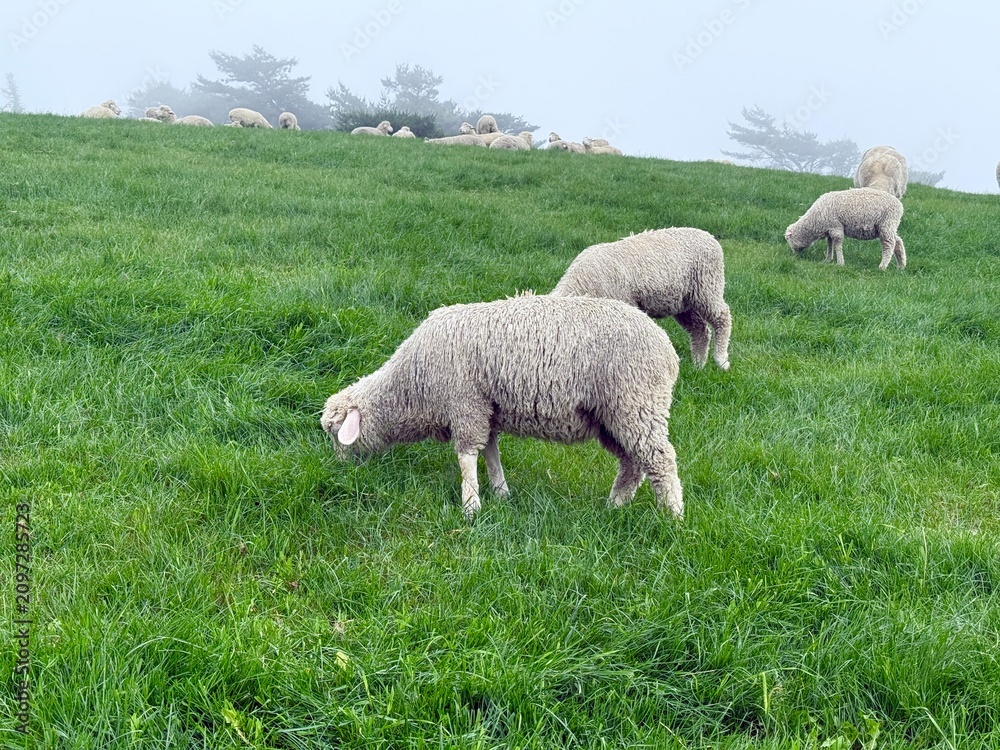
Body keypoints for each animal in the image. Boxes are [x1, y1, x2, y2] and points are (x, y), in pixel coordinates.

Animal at [320, 294, 683, 520]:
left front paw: (470, 505)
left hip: (636, 402)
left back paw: (673, 517)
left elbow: (467, 455)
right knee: (633, 463)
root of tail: (667, 349)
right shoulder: (487, 410)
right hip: (613, 417)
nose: (337, 470)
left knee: (660, 459)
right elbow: (491, 452)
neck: (412, 384)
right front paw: (500, 493)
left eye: (336, 434)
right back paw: (614, 507)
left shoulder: (465, 403)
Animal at [551, 228, 732, 371]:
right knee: (700, 330)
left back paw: (721, 360)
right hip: (683, 303)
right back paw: (698, 364)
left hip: (708, 287)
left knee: (722, 317)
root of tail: (709, 236)